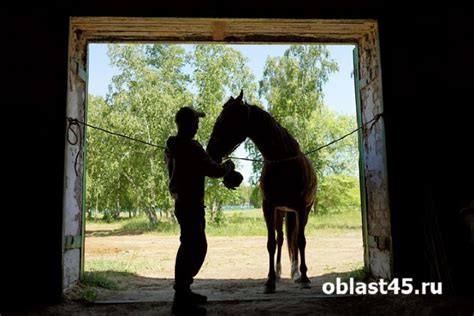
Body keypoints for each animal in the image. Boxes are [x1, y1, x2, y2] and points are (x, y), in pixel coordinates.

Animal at [207, 90, 318, 292]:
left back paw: (297, 274)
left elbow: (301, 241)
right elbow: (271, 243)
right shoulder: (269, 207)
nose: (210, 151)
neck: (282, 162)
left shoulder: (301, 208)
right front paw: (270, 281)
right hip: (281, 212)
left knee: (295, 239)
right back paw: (282, 272)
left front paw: (305, 277)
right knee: (282, 238)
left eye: (227, 120)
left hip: (299, 212)